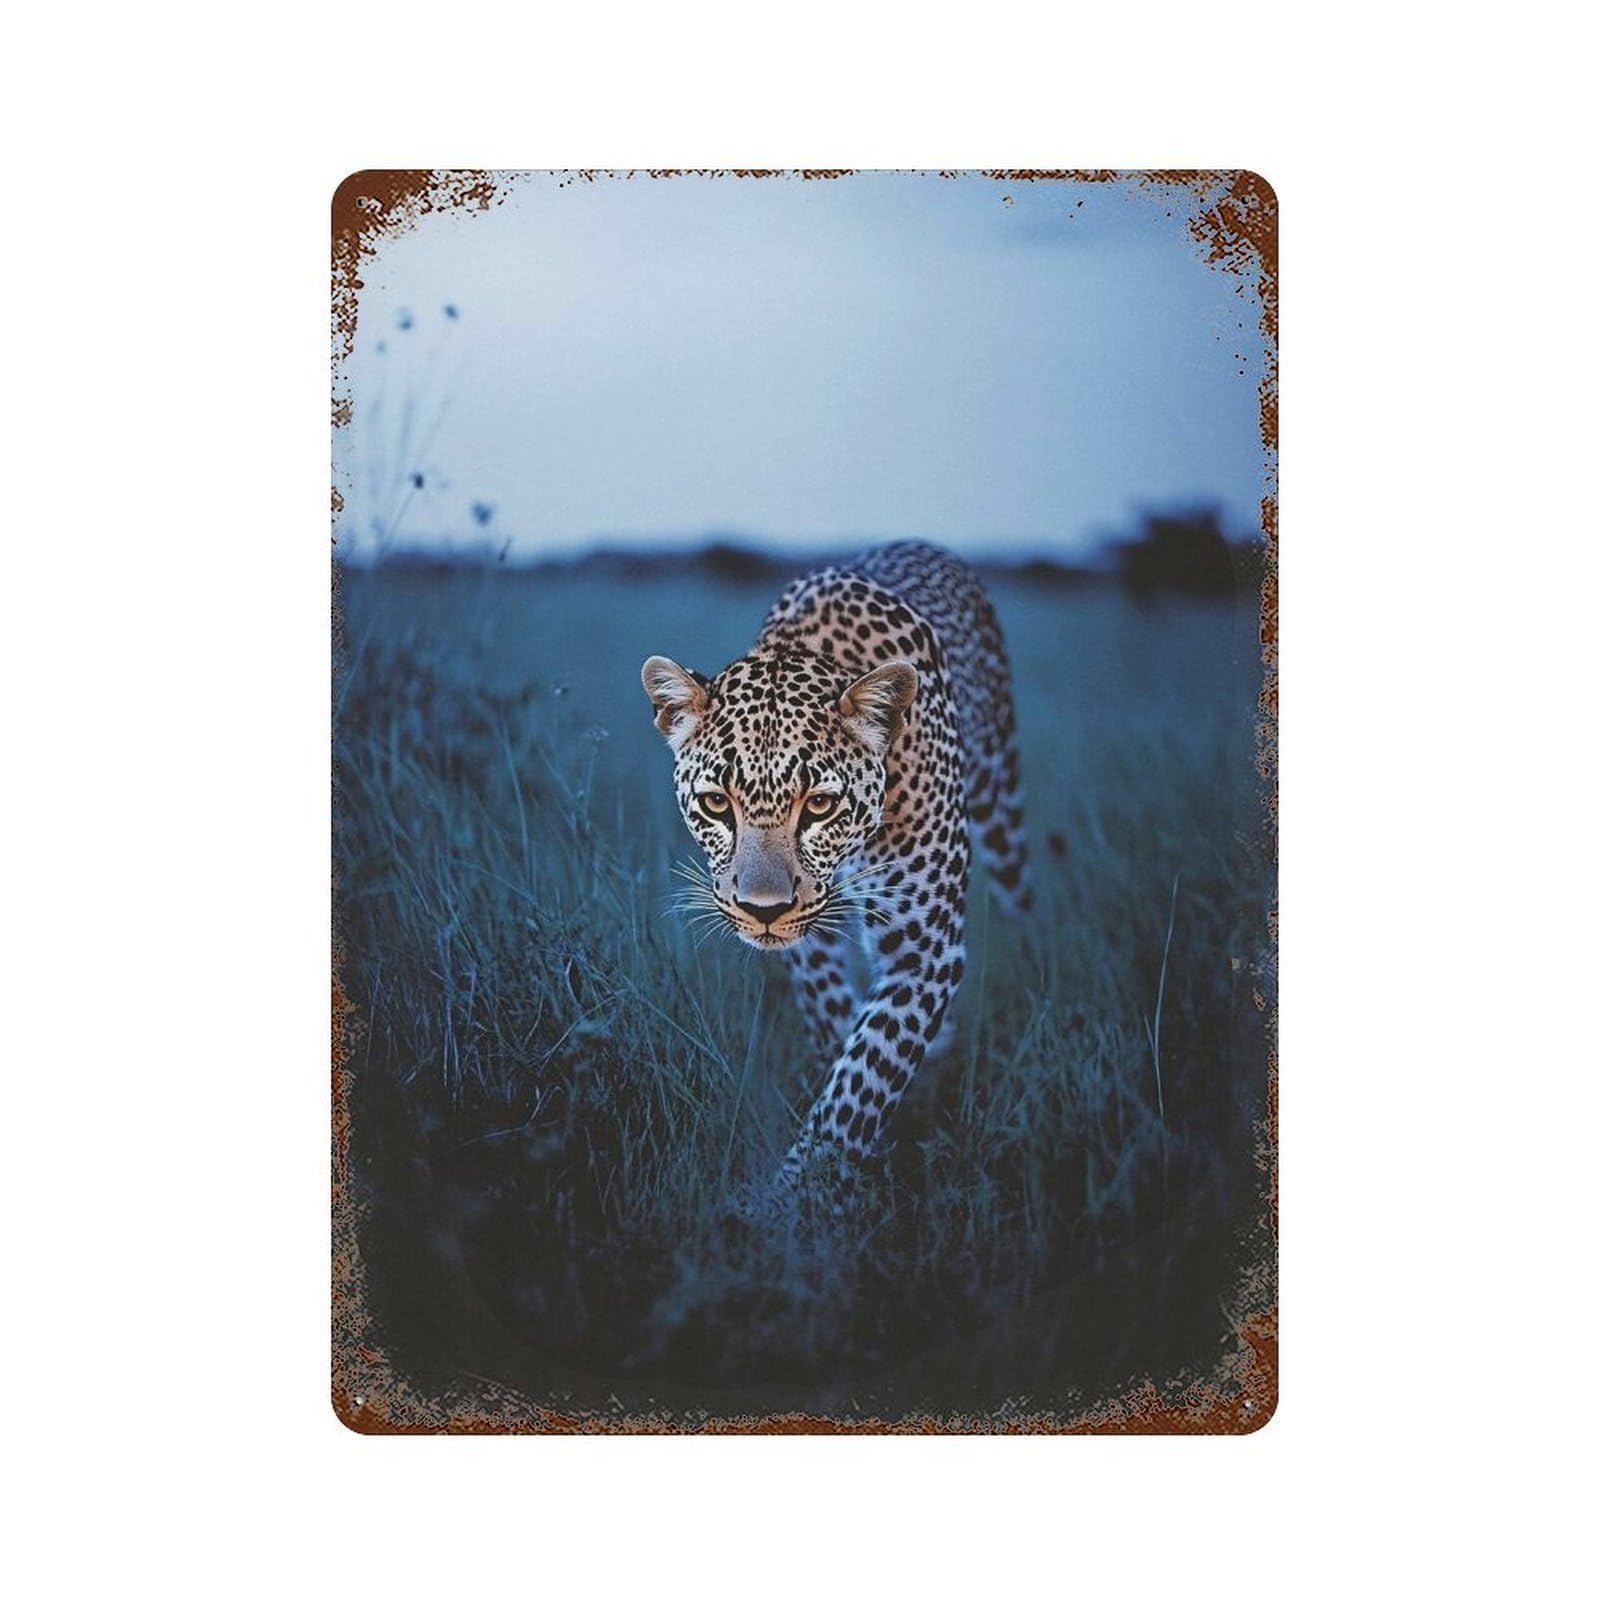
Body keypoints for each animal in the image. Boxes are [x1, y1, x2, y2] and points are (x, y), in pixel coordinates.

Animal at [641, 540, 1031, 1199]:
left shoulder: (923, 948)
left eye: (820, 805)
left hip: (1000, 800)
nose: (763, 911)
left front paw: (797, 1199)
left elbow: (866, 1074)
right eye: (717, 803)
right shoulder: (809, 943)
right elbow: (835, 1025)